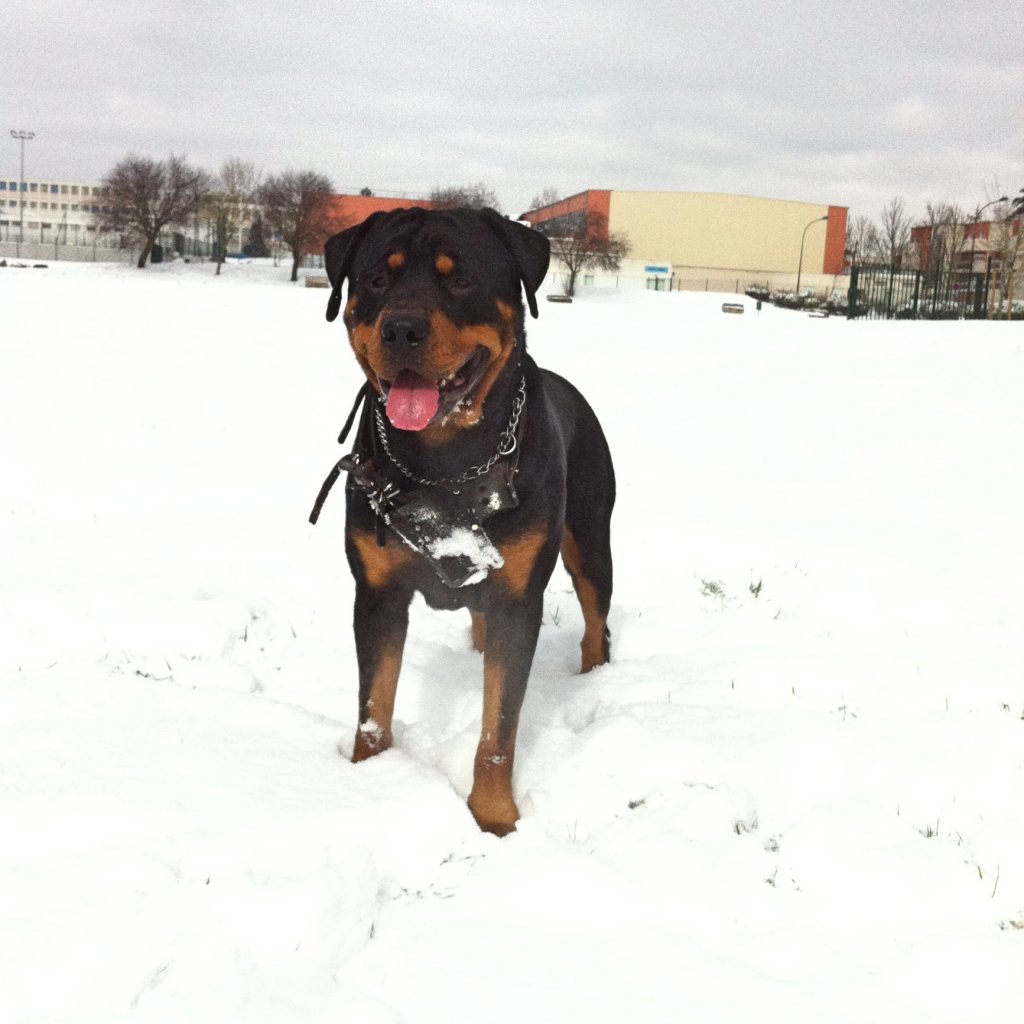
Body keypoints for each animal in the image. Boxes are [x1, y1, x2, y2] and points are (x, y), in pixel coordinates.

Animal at [311, 203, 614, 835]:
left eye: (461, 279)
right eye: (376, 279)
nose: (401, 328)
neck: (444, 462)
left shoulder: (518, 601)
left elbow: (499, 728)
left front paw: (495, 817)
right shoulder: (376, 593)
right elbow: (374, 705)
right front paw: (365, 781)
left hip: (591, 540)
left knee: (596, 623)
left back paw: (597, 678)